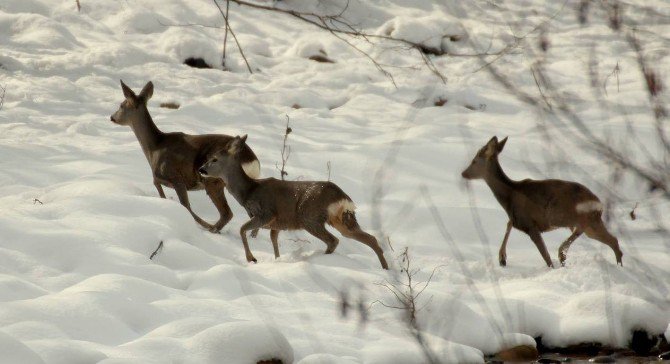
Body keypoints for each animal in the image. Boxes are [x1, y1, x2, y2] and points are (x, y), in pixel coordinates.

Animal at [110, 80, 260, 232]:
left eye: (121, 105)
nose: (112, 117)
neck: (155, 148)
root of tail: (252, 160)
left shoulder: (176, 177)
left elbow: (185, 205)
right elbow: (160, 190)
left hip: (213, 180)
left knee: (227, 213)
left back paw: (211, 229)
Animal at [197, 135, 392, 268]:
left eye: (214, 159)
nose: (201, 169)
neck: (248, 191)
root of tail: (342, 197)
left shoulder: (266, 213)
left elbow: (242, 229)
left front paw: (251, 258)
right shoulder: (276, 224)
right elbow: (274, 242)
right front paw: (276, 260)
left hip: (310, 217)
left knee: (333, 240)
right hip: (341, 219)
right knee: (370, 238)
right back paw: (385, 269)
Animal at [462, 136, 624, 268]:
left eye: (474, 161)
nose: (463, 173)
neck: (509, 196)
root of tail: (599, 203)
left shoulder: (530, 225)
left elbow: (546, 257)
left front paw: (503, 258)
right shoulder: (520, 221)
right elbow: (509, 224)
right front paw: (502, 258)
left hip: (573, 217)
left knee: (594, 234)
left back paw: (562, 254)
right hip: (590, 223)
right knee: (613, 240)